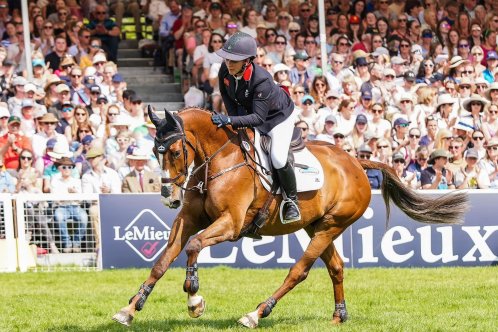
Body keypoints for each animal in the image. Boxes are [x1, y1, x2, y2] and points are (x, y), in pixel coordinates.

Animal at [111, 106, 468, 326]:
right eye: (154, 151)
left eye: (173, 151)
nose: (169, 196)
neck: (219, 160)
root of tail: (356, 162)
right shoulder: (187, 220)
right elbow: (162, 261)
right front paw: (129, 309)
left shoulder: (230, 224)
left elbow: (195, 246)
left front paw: (194, 298)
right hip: (317, 227)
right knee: (336, 267)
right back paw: (338, 316)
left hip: (331, 225)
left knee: (299, 271)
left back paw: (257, 313)